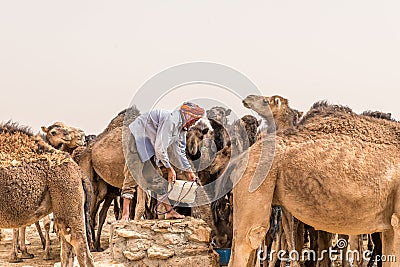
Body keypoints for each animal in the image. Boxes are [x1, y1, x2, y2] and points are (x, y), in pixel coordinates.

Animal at [0, 122, 94, 266]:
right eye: (53, 132)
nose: (81, 136)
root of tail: (78, 171)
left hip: (67, 194)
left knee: (80, 247)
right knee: (67, 249)